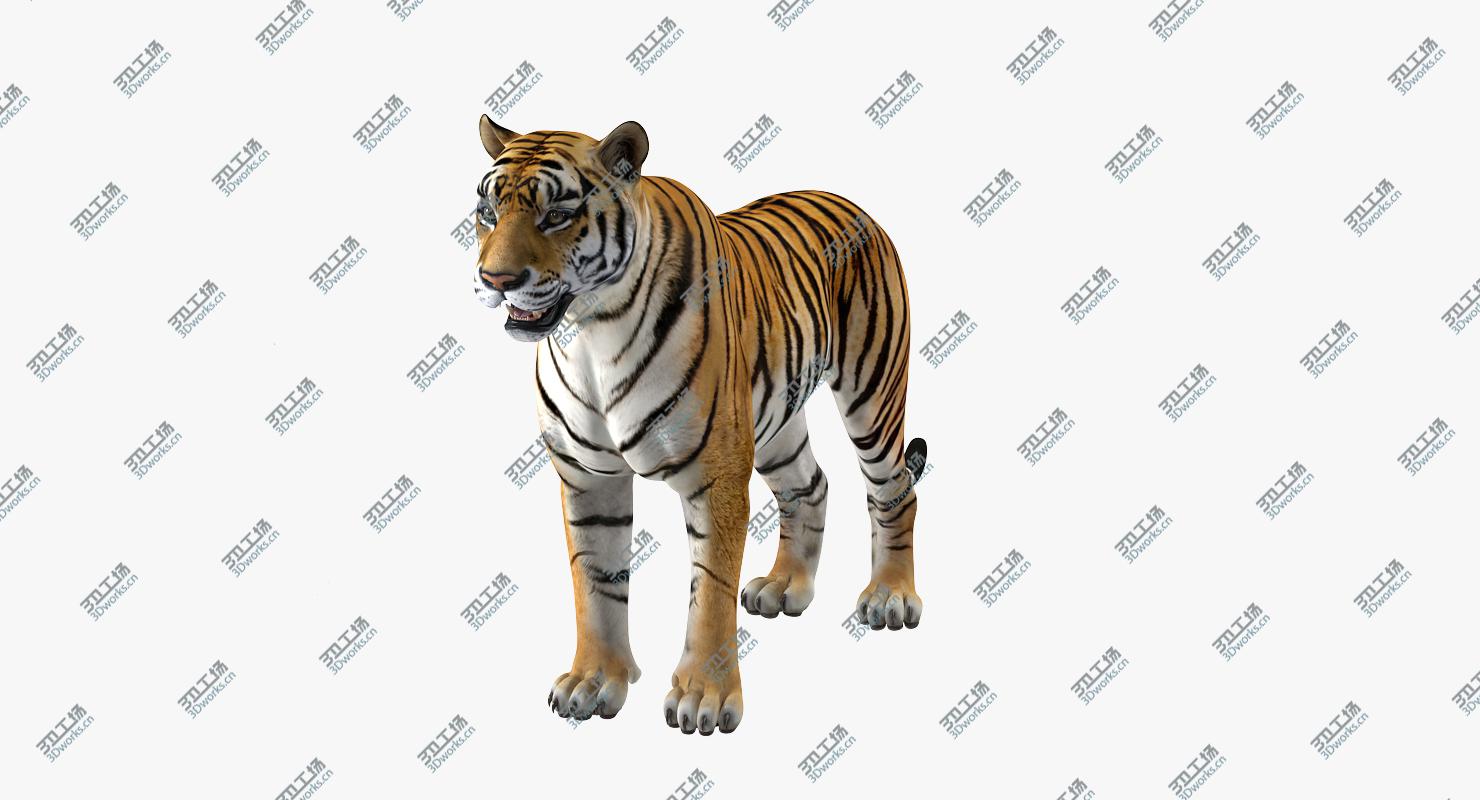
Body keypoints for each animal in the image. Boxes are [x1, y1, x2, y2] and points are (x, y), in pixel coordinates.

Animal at [471, 115, 928, 735]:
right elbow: (595, 585)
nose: (496, 280)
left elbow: (709, 589)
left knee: (894, 489)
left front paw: (704, 698)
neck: (589, 330)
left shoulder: (717, 474)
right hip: (777, 419)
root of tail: (849, 201)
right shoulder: (588, 477)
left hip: (870, 392)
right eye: (486, 212)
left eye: (557, 215)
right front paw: (594, 681)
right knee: (810, 485)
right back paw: (786, 586)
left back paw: (889, 597)